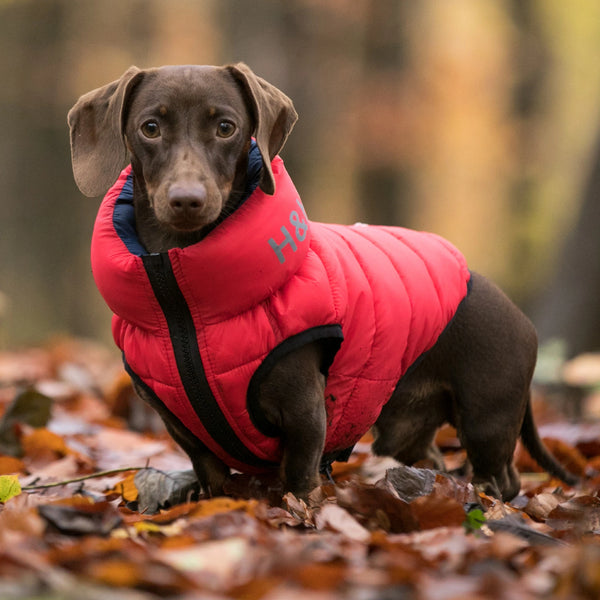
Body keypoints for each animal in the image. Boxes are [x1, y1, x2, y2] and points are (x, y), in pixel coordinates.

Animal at [68, 63, 580, 500]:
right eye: (150, 128)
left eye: (226, 127)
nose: (187, 200)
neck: (180, 297)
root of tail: (515, 311)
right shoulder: (185, 430)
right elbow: (212, 476)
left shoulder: (305, 414)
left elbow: (299, 479)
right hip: (407, 426)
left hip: (487, 416)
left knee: (504, 475)